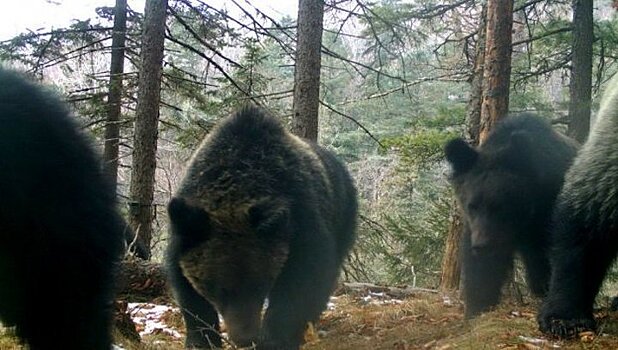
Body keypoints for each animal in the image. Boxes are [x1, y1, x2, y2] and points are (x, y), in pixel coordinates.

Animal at [165, 106, 356, 350]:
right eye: (218, 289)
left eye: (259, 284)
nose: (244, 338)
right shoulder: (186, 229)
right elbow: (187, 290)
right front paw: (202, 339)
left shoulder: (301, 220)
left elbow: (304, 278)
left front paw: (276, 337)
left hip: (343, 213)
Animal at [442, 115, 576, 318]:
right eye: (472, 206)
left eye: (499, 206)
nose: (482, 245)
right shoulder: (476, 228)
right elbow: (481, 272)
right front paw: (477, 308)